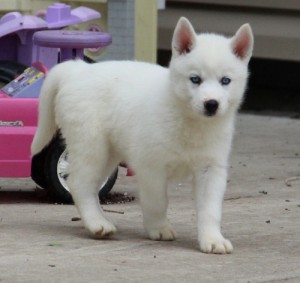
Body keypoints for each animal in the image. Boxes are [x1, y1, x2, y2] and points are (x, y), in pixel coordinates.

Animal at [31, 17, 253, 254]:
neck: (189, 120)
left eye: (225, 81)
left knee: (89, 185)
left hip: (108, 154)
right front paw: (159, 228)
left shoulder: (211, 168)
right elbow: (157, 202)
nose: (211, 104)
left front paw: (212, 239)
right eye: (195, 79)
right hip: (91, 145)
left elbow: (210, 209)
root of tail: (77, 69)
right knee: (79, 183)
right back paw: (97, 223)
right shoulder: (151, 167)